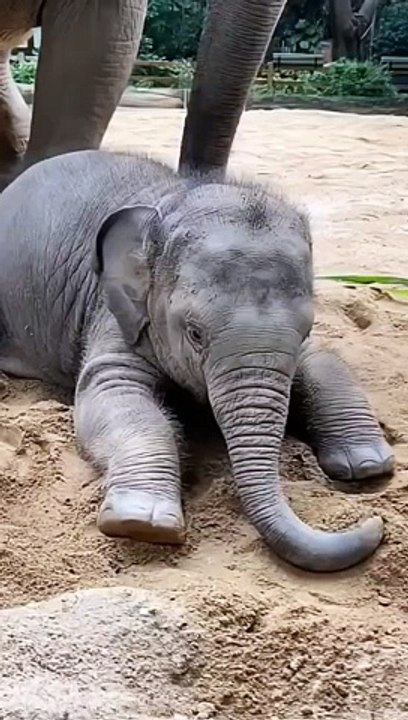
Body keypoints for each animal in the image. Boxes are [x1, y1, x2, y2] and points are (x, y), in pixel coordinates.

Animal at [0, 148, 394, 573]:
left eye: (306, 330)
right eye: (194, 333)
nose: (375, 521)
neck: (175, 199)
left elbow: (324, 361)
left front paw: (367, 465)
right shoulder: (116, 311)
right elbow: (115, 393)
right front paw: (142, 524)